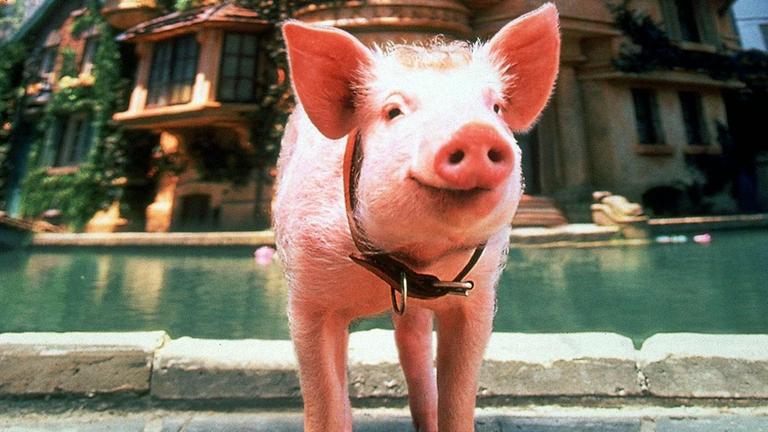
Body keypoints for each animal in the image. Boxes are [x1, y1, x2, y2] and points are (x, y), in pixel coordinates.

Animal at [273, 4, 560, 431]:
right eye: (393, 111)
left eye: (494, 108)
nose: (474, 132)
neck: (408, 260)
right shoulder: (308, 297)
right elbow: (324, 402)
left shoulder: (477, 294)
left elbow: (458, 397)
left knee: (415, 355)